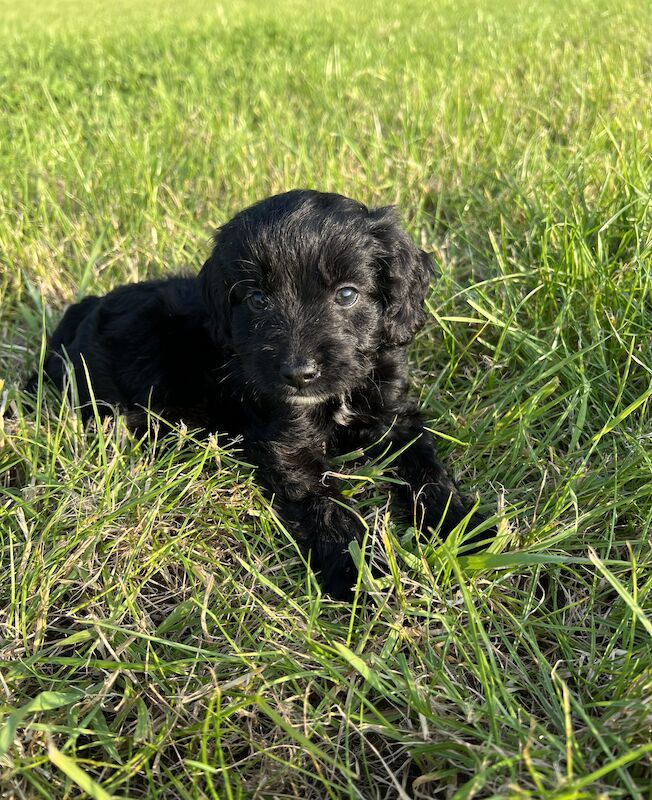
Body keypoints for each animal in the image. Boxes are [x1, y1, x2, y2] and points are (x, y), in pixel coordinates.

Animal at [29, 191, 488, 596]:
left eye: (347, 293)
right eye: (256, 299)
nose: (298, 374)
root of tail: (82, 311)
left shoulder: (394, 415)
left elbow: (425, 466)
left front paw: (463, 526)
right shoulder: (285, 442)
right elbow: (322, 500)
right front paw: (356, 570)